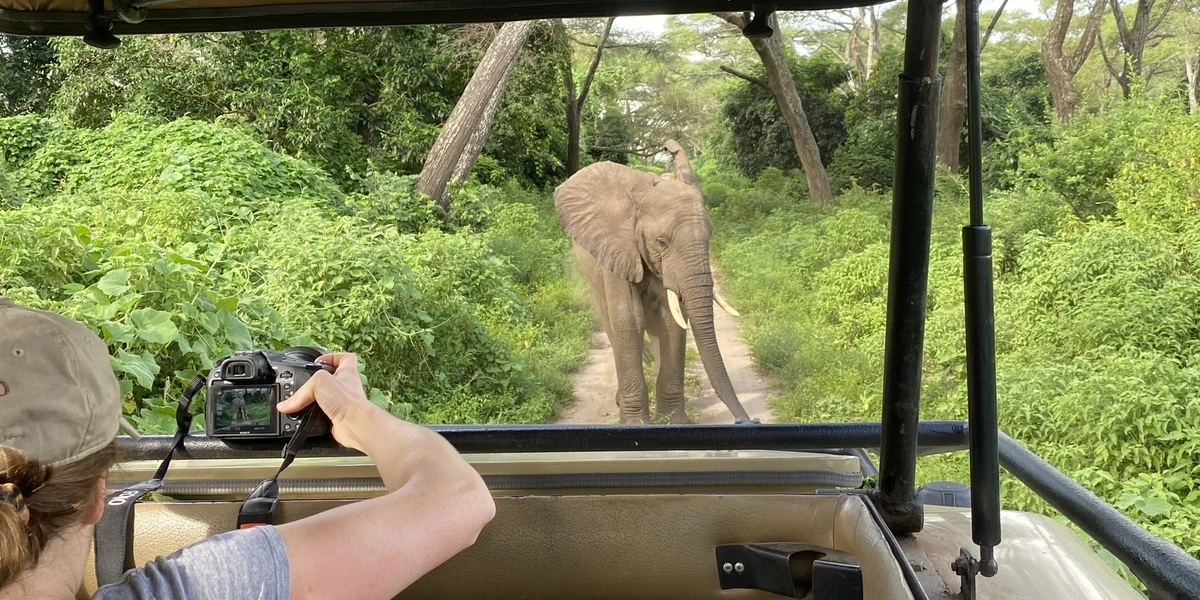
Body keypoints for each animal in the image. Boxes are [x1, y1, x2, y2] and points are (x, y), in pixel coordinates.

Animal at [552, 140, 748, 424]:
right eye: (661, 242)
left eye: (710, 236)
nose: (748, 421)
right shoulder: (619, 248)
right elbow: (629, 319)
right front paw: (636, 423)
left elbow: (671, 320)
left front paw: (673, 421)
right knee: (610, 321)